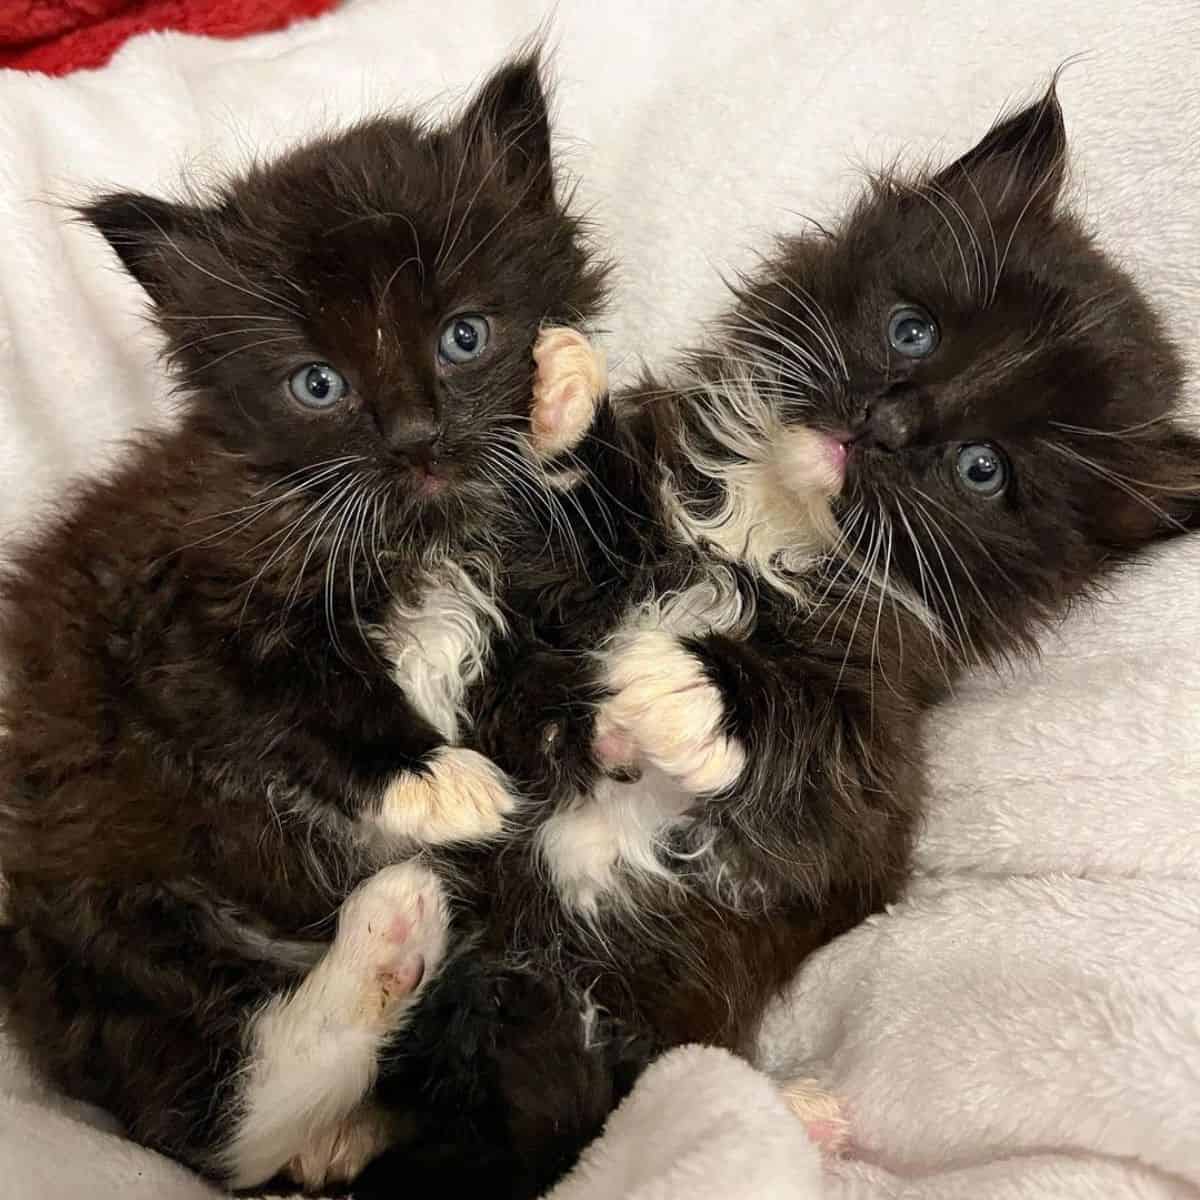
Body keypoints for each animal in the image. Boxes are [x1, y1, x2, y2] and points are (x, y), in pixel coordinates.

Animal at [0, 54, 604, 1190]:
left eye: (464, 337)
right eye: (316, 386)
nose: (415, 435)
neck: (416, 538)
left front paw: (564, 398)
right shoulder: (171, 610)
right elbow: (289, 688)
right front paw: (432, 777)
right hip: (115, 912)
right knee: (214, 1119)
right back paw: (386, 936)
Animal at [355, 87, 1200, 1200]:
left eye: (981, 470)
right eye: (912, 331)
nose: (889, 422)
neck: (767, 526)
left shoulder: (880, 731)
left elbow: (807, 724)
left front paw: (678, 695)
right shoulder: (588, 554)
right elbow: (578, 509)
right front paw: (563, 396)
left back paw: (796, 1111)